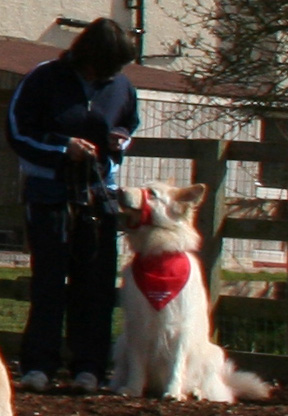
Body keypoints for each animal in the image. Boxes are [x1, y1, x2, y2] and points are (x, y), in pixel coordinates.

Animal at [109, 180, 272, 402]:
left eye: (152, 193)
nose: (118, 190)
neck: (159, 256)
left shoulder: (181, 328)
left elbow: (177, 365)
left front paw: (173, 392)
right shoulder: (137, 326)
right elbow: (136, 364)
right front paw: (132, 389)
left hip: (213, 353)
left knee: (214, 389)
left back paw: (197, 392)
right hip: (121, 343)